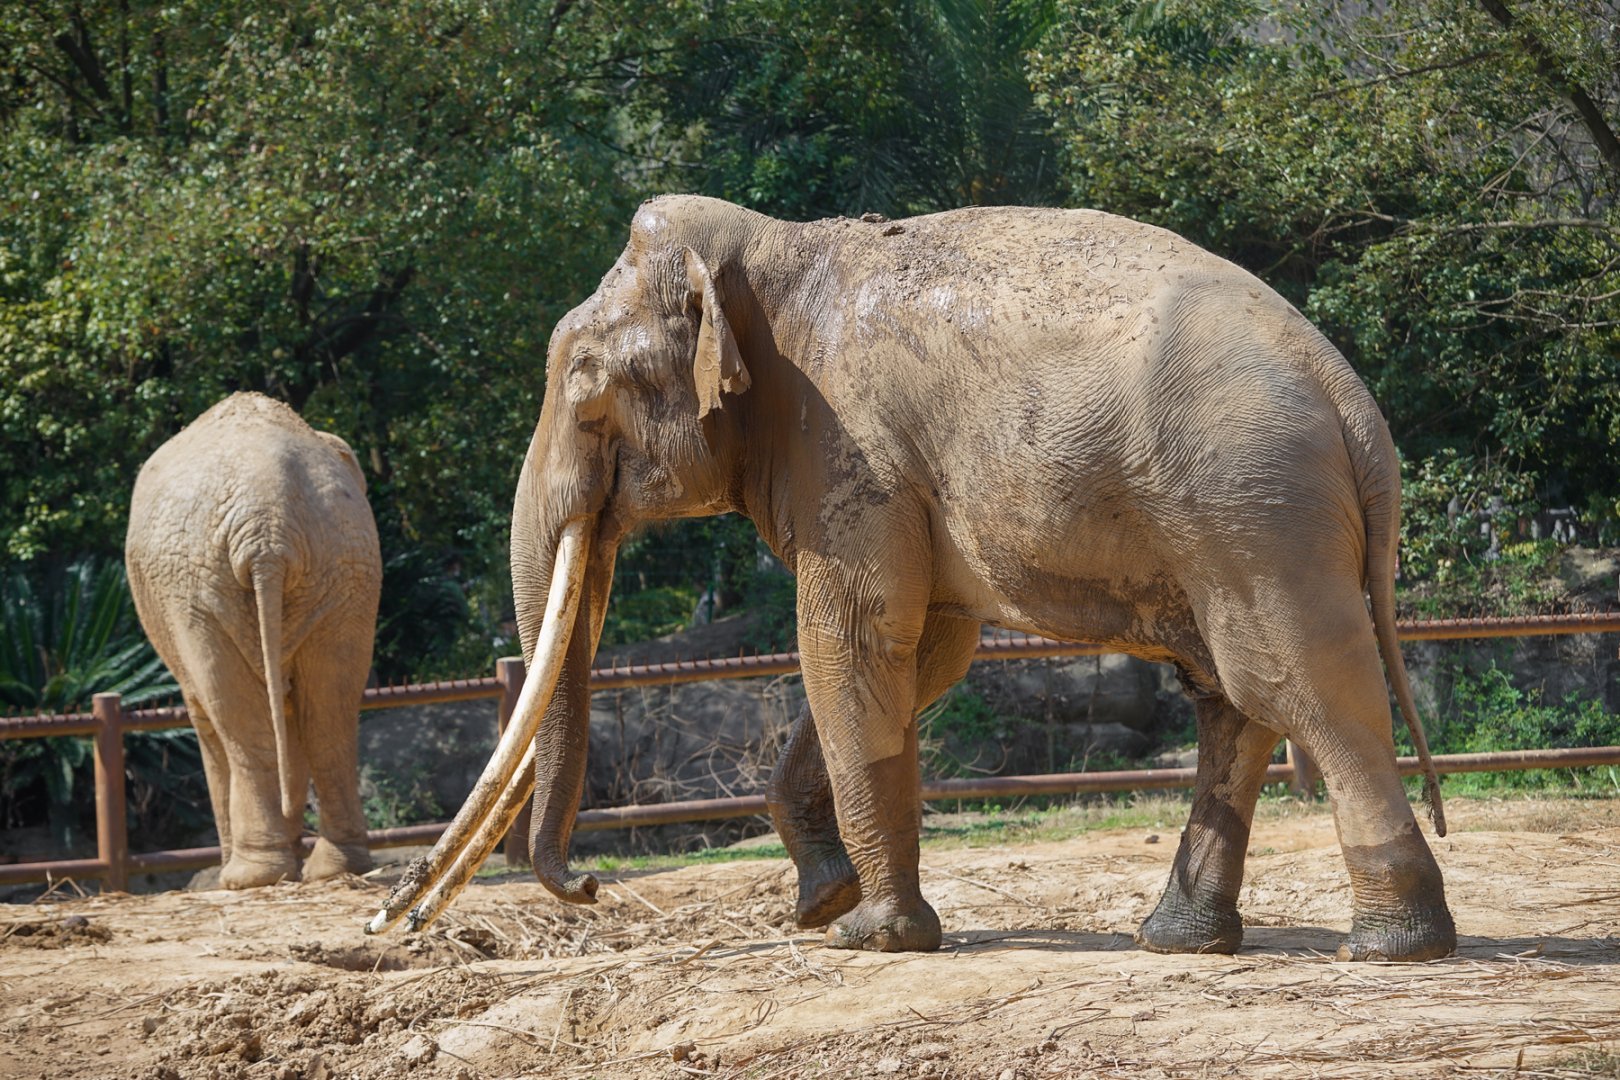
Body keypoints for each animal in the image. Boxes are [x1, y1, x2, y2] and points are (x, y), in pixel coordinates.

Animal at [126, 392, 379, 889]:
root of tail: (267, 526)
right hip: (346, 566)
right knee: (329, 709)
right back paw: (334, 869)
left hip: (196, 591)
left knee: (236, 715)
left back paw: (246, 877)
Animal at [373, 195, 1455, 963]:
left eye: (585, 387)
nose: (590, 889)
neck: (770, 246)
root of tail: (1353, 401)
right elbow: (923, 653)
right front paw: (824, 902)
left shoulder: (852, 448)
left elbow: (850, 639)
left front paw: (870, 936)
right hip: (1228, 514)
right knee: (1227, 692)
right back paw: (1181, 941)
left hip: (1249, 504)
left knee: (1292, 682)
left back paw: (1393, 946)